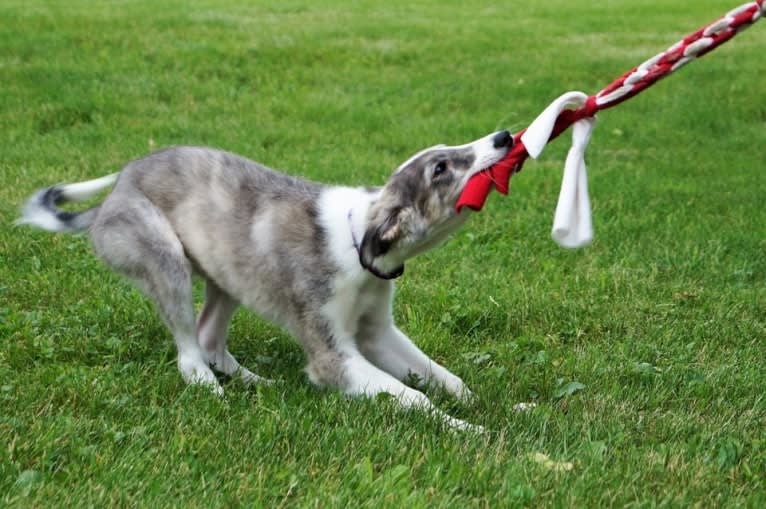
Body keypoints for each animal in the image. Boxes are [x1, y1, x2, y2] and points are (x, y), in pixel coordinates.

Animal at [15, 128, 512, 428]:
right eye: (441, 169)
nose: (505, 137)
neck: (357, 240)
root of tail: (109, 199)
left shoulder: (377, 332)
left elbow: (445, 379)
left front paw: (492, 406)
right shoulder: (332, 356)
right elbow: (413, 397)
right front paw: (467, 429)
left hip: (229, 273)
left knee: (209, 337)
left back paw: (258, 383)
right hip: (165, 258)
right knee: (189, 351)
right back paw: (209, 386)